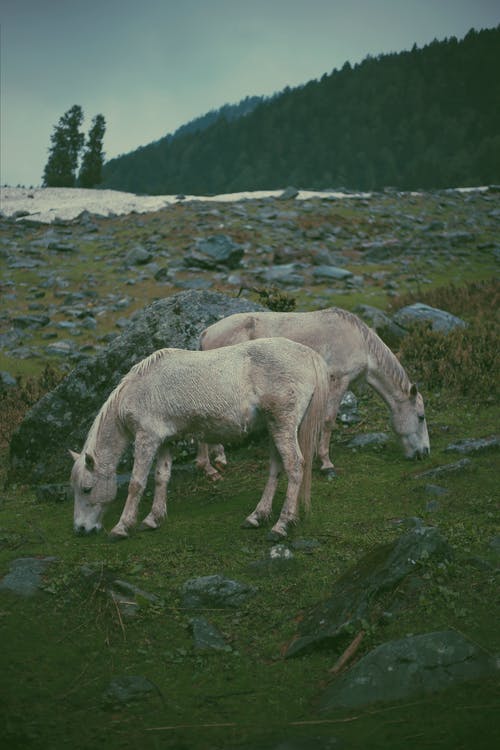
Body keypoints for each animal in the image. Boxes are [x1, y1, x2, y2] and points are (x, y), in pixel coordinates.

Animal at [69, 340, 328, 540]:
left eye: (86, 489)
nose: (81, 529)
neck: (139, 389)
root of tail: (308, 354)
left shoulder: (147, 439)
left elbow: (136, 483)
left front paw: (122, 527)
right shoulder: (166, 441)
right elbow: (161, 477)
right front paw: (153, 519)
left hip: (282, 425)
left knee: (294, 466)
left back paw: (281, 526)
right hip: (274, 427)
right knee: (276, 467)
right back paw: (257, 516)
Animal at [197, 306, 432, 478]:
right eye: (421, 417)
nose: (425, 452)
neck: (360, 341)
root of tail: (207, 332)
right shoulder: (338, 382)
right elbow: (328, 421)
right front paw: (326, 463)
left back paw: (218, 460)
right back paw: (209, 468)